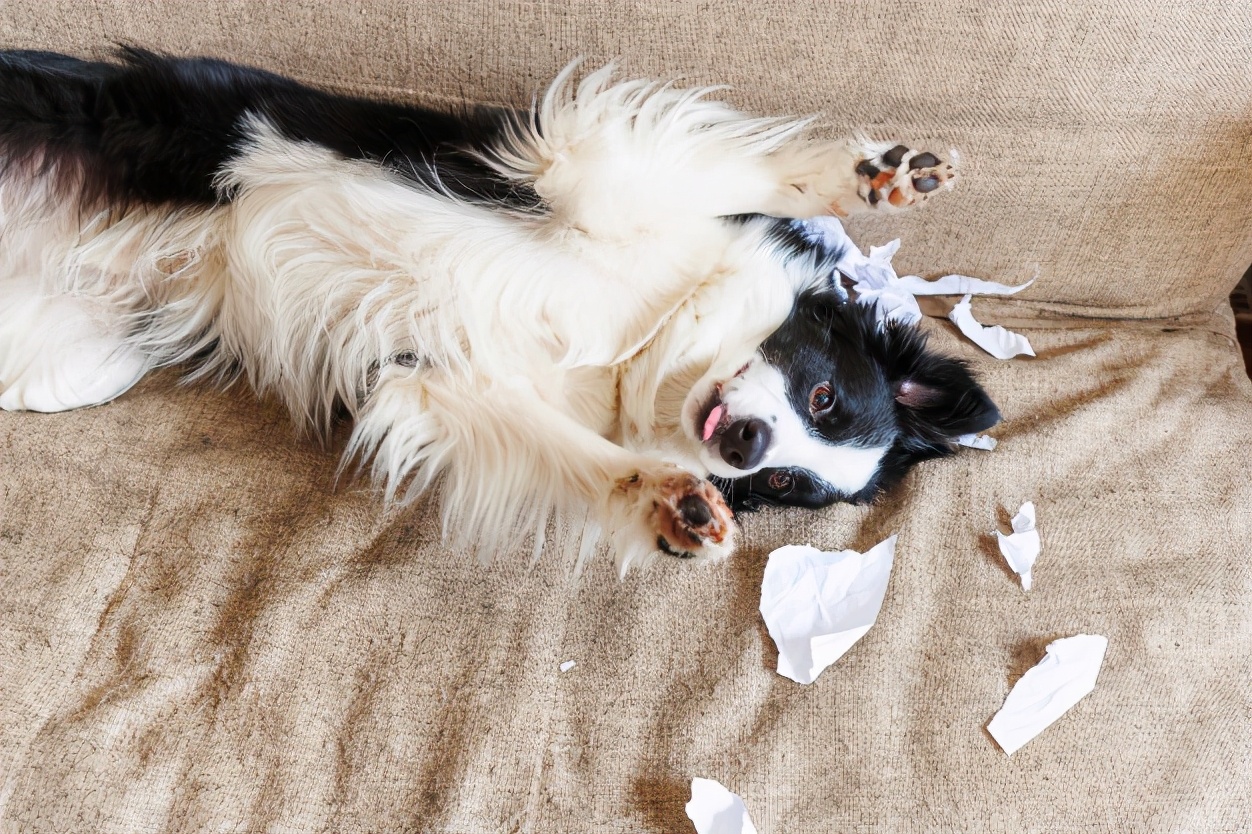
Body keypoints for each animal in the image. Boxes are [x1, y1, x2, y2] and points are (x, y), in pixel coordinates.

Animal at [0, 50, 996, 571]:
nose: (746, 448)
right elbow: (736, 173)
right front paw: (872, 176)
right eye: (824, 395)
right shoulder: (594, 169)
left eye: (786, 487)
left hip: (74, 350)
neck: (649, 336)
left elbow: (576, 455)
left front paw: (671, 504)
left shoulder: (442, 384)